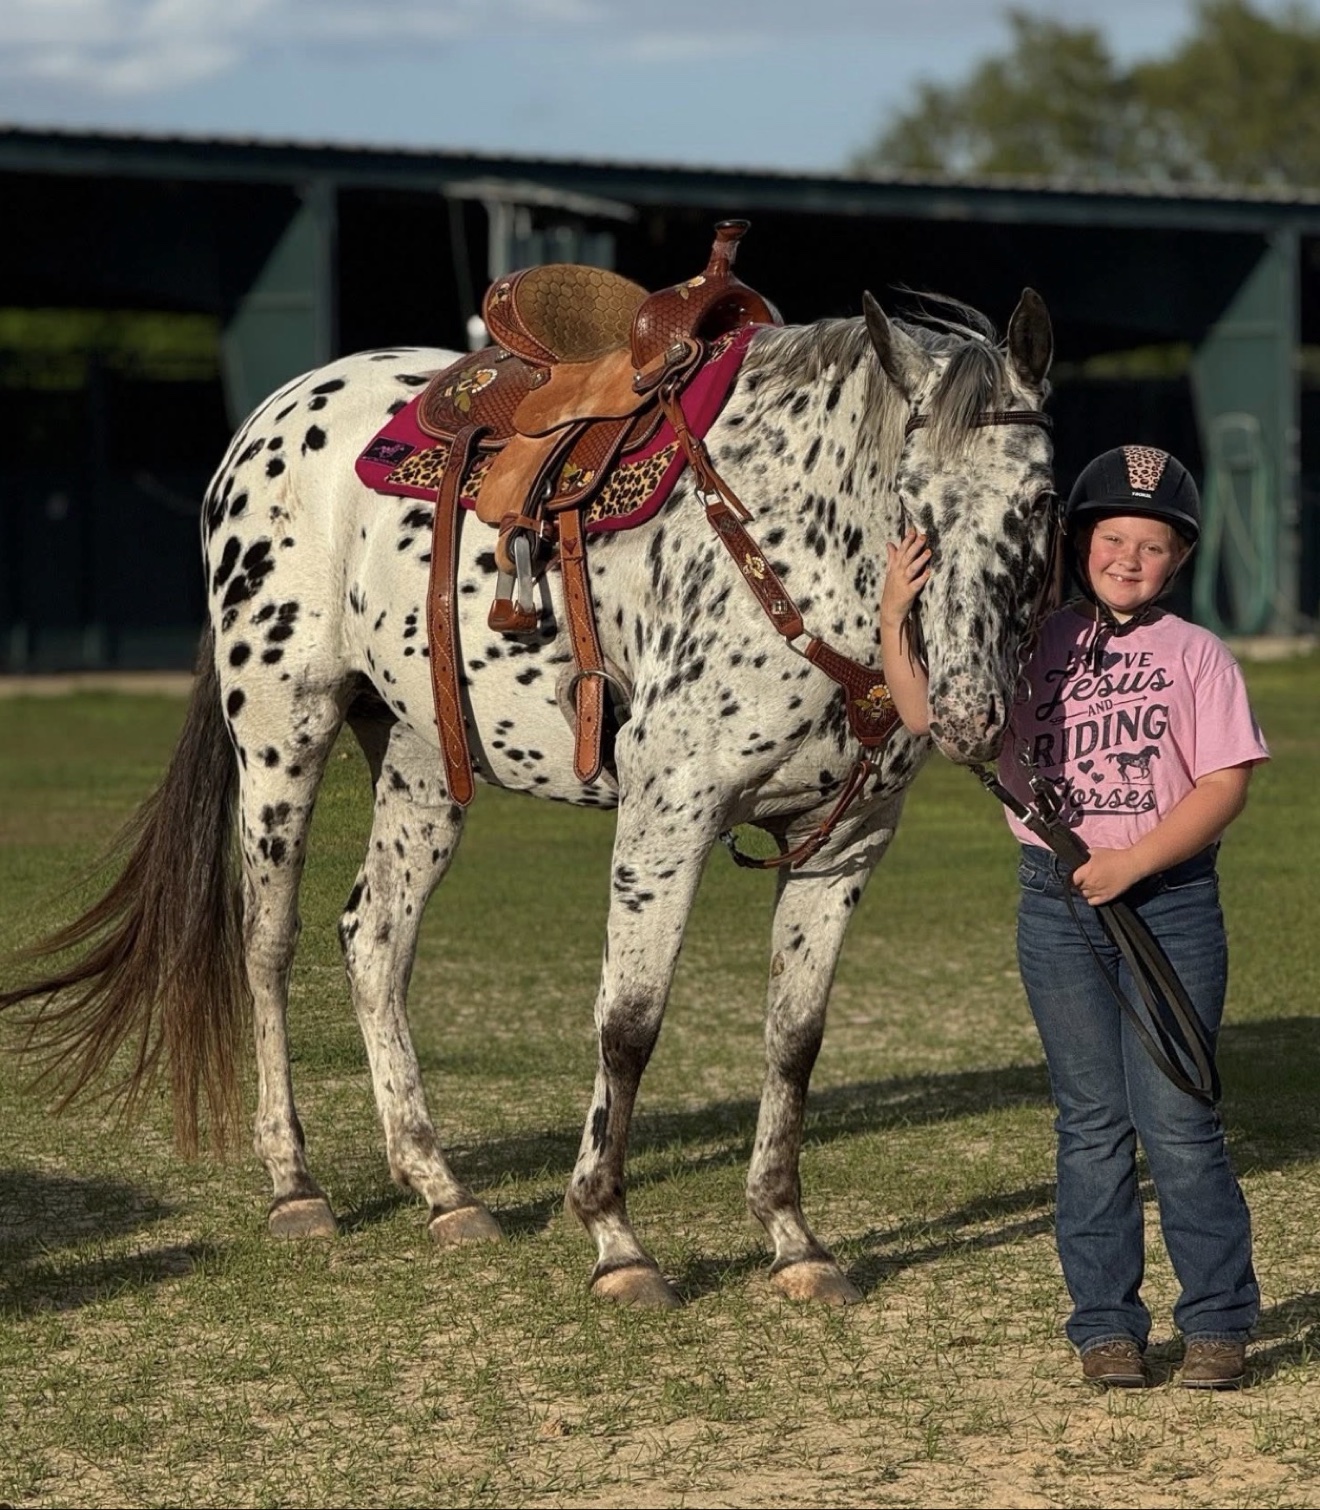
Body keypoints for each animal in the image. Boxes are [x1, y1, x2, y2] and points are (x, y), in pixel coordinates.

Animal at [2, 284, 1055, 1309]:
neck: (785, 547)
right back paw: (295, 1186)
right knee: (268, 943)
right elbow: (629, 1025)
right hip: (278, 732)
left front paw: (792, 1238)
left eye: (1041, 499)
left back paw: (439, 1186)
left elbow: (794, 1038)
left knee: (374, 939)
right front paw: (614, 1238)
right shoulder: (668, 815)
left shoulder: (845, 846)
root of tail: (273, 415)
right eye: (908, 498)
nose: (968, 710)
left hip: (422, 761)